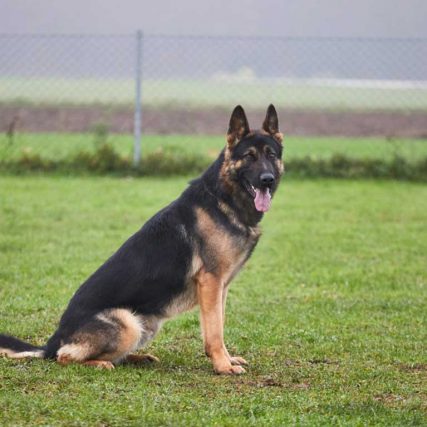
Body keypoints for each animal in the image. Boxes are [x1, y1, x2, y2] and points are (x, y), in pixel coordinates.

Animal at [0, 105, 284, 375]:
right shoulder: (211, 283)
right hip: (127, 323)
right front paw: (223, 366)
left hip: (144, 324)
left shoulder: (220, 287)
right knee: (65, 357)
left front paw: (227, 358)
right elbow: (214, 332)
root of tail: (53, 340)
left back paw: (138, 358)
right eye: (249, 156)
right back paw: (100, 364)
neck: (224, 198)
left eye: (271, 155)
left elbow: (219, 326)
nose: (267, 180)